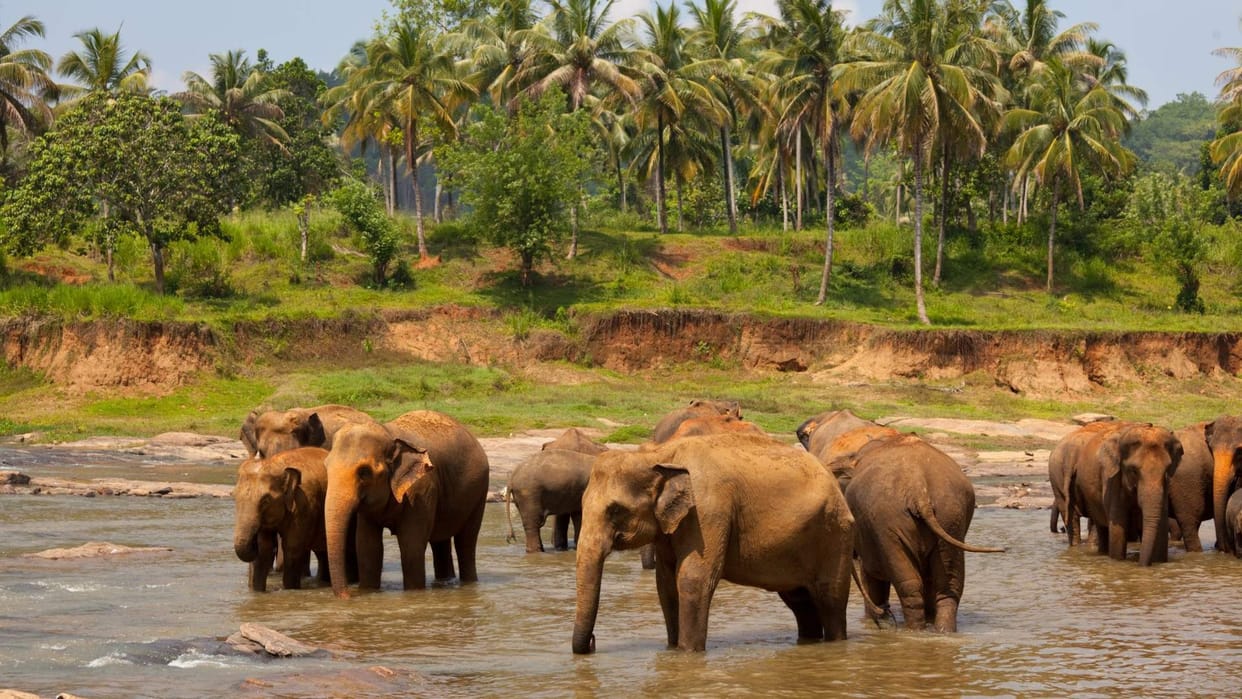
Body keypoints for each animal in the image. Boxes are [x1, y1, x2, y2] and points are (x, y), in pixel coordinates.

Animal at [232, 447, 330, 592]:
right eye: (234, 496)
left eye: (265, 501)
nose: (253, 541)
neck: (279, 464)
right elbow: (264, 549)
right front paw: (257, 592)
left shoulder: (304, 504)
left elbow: (292, 548)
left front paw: (291, 590)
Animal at [324, 409, 489, 598]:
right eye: (326, 467)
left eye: (364, 472)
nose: (347, 596)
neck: (388, 432)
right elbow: (368, 548)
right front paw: (368, 591)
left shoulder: (421, 490)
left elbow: (411, 546)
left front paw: (413, 595)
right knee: (440, 542)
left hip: (479, 492)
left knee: (466, 542)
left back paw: (469, 584)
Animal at [572, 432, 855, 654]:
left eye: (615, 510)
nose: (593, 643)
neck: (660, 453)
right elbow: (666, 584)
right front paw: (671, 649)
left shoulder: (708, 511)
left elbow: (693, 578)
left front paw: (687, 654)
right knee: (800, 601)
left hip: (834, 533)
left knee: (830, 598)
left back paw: (835, 643)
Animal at [843, 434, 1004, 632]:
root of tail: (919, 489)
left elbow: (871, 576)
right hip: (950, 516)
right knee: (948, 585)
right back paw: (942, 631)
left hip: (887, 523)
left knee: (910, 585)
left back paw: (914, 630)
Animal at [1055, 421, 1183, 566]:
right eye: (1133, 471)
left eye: (1167, 470)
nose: (1141, 565)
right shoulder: (1112, 476)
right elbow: (1118, 525)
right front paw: (1118, 563)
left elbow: (1161, 523)